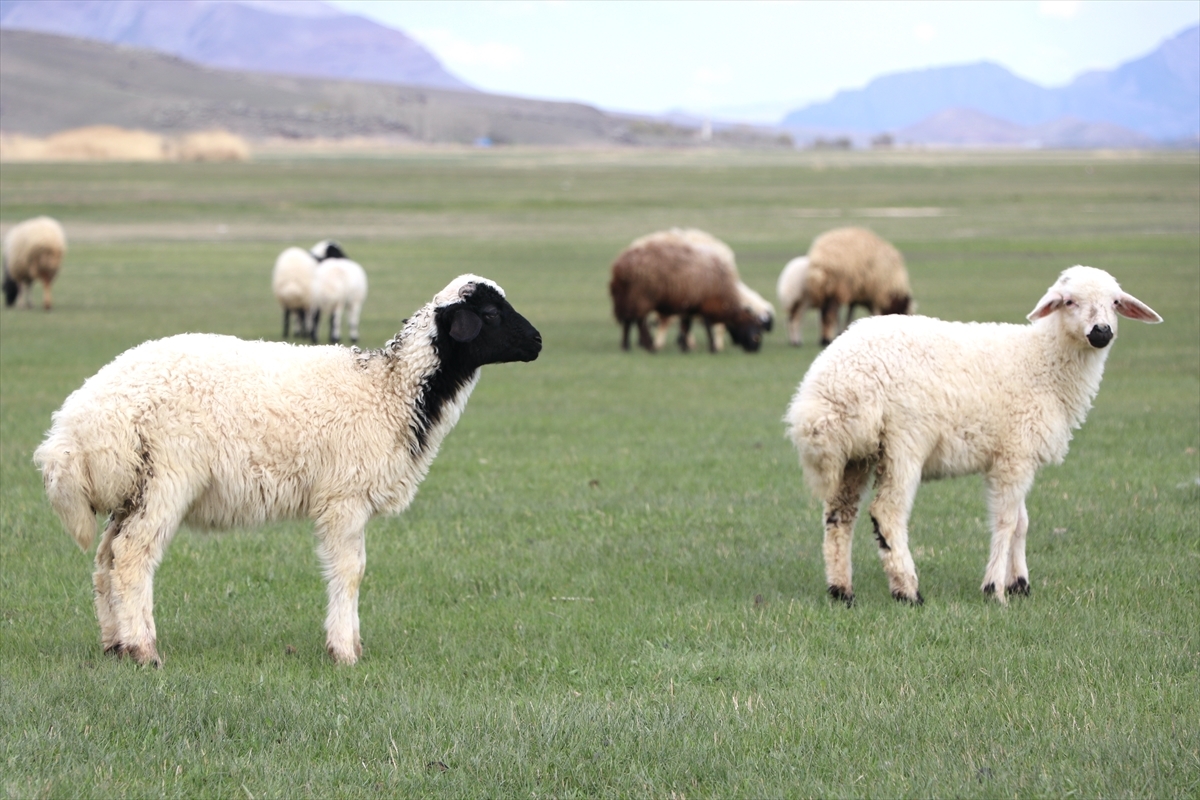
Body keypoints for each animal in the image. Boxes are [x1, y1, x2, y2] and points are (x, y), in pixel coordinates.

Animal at [35, 272, 544, 666]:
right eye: (491, 313)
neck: (392, 391)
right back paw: (144, 650)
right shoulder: (343, 498)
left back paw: (114, 644)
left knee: (106, 560)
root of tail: (77, 423)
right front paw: (344, 652)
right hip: (166, 478)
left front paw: (352, 645)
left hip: (132, 489)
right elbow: (350, 571)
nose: (538, 342)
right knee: (132, 557)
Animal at [787, 267, 1161, 606]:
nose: (1101, 332)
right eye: (1069, 301)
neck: (1042, 362)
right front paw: (994, 589)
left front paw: (1020, 584)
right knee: (887, 514)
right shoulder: (1014, 455)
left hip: (855, 453)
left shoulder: (1016, 454)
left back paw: (841, 590)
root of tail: (831, 385)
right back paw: (907, 591)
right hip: (903, 441)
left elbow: (1022, 522)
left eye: (1115, 302)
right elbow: (1006, 522)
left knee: (839, 515)